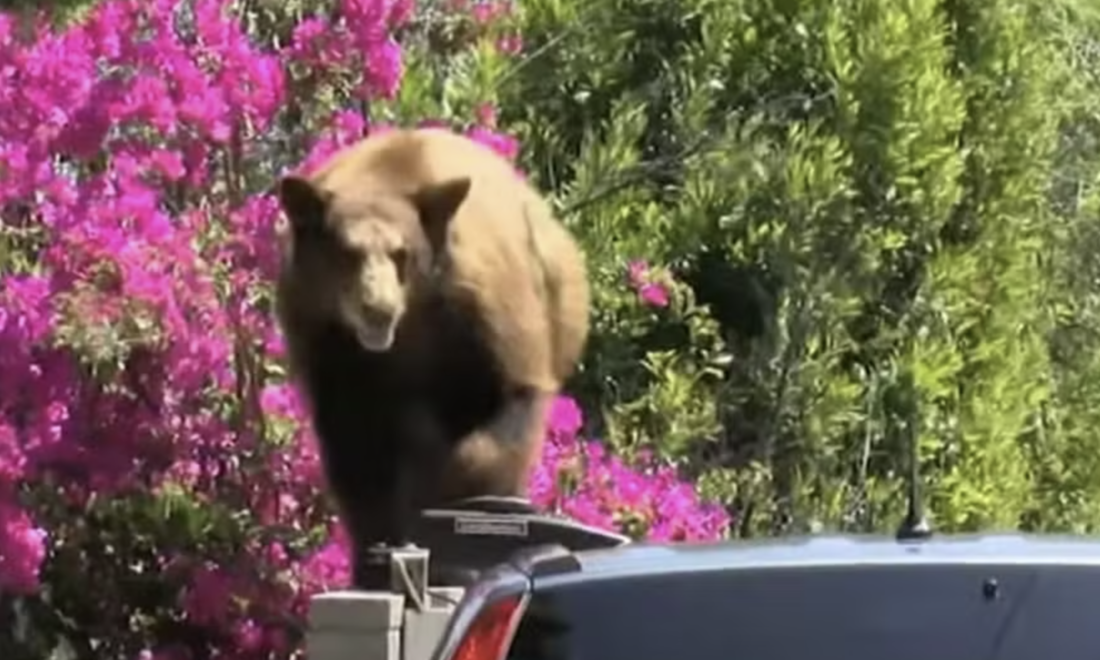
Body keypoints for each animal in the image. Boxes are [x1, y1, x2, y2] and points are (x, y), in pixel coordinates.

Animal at [270, 126, 589, 589]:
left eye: (402, 253)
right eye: (347, 254)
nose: (378, 309)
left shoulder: (482, 311)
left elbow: (510, 400)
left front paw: (459, 494)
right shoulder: (330, 346)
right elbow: (356, 453)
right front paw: (375, 553)